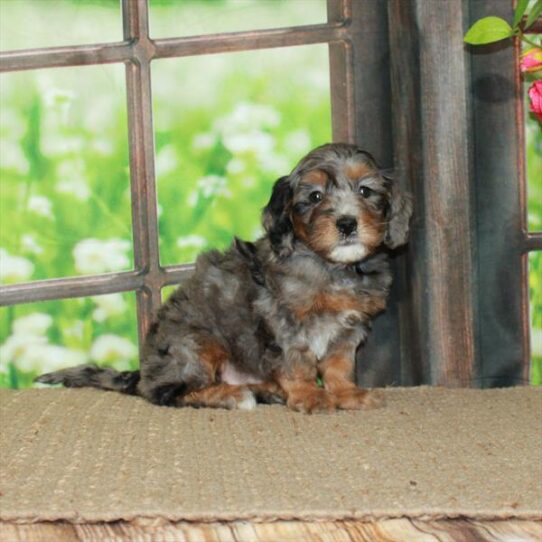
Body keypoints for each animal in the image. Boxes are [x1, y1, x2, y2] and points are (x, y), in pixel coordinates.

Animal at [37, 142, 412, 414]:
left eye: (365, 191)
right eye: (315, 196)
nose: (347, 224)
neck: (332, 267)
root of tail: (144, 370)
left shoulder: (349, 329)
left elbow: (338, 365)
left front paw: (348, 394)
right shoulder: (285, 325)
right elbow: (298, 363)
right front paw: (310, 396)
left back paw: (264, 389)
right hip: (197, 344)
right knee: (166, 392)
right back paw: (232, 395)